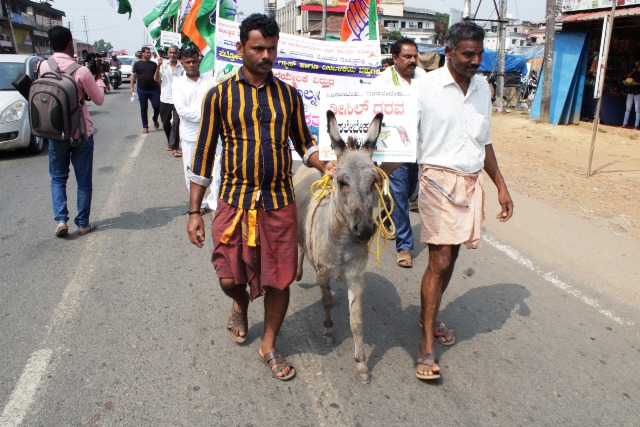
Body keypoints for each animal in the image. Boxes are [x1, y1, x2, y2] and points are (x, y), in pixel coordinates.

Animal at [294, 110, 383, 384]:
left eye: (374, 181)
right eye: (342, 182)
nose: (364, 230)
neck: (342, 242)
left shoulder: (356, 275)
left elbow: (356, 320)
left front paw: (361, 364)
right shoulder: (323, 273)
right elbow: (327, 302)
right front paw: (328, 333)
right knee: (299, 247)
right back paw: (297, 272)